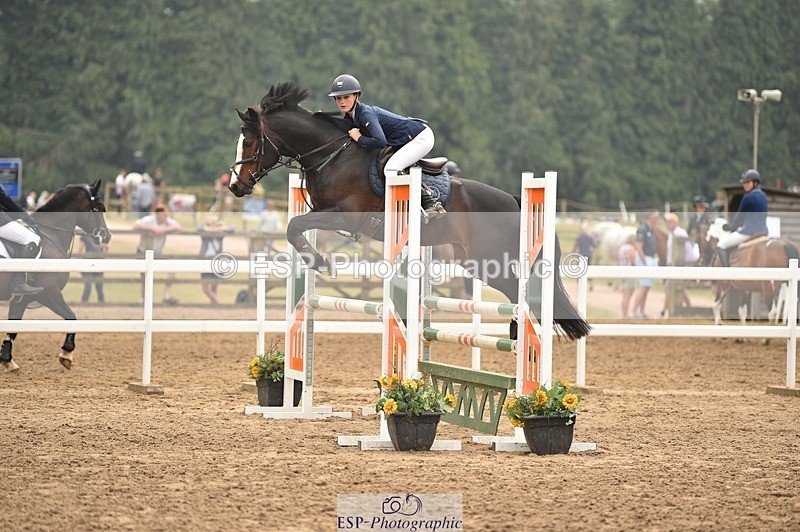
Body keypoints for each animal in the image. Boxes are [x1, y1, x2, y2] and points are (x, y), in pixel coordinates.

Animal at [0, 180, 111, 371]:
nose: (107, 236)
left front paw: (7, 360)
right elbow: (72, 317)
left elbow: (13, 328)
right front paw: (67, 353)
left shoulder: (20, 299)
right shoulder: (49, 294)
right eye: (99, 208)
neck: (51, 235)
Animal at [228, 81, 589, 341]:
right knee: (517, 292)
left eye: (250, 142)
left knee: (523, 293)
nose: (235, 186)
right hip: (473, 261)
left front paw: (320, 262)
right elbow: (296, 227)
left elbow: (293, 225)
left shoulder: (344, 214)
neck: (332, 155)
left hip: (491, 259)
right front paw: (316, 260)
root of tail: (515, 201)